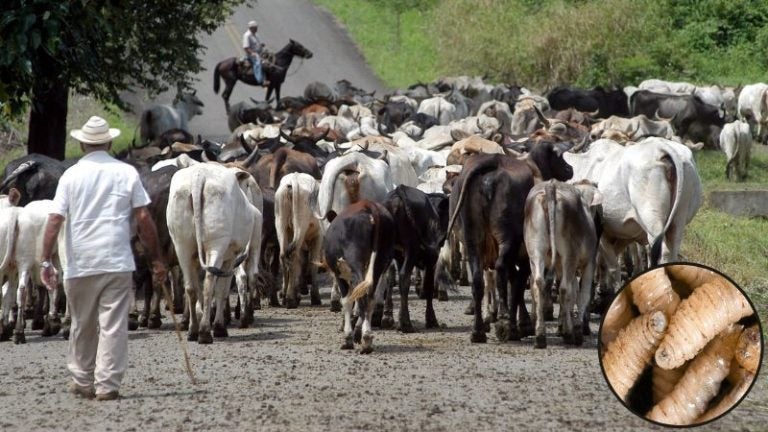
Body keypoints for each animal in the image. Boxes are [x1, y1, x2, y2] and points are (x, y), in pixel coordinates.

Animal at [166, 163, 262, 344]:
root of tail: (199, 176)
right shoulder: (230, 258)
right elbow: (222, 291)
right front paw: (219, 326)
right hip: (217, 245)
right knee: (211, 283)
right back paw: (206, 332)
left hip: (182, 246)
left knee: (190, 287)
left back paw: (193, 330)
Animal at [276, 174, 324, 308]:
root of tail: (294, 178)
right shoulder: (318, 236)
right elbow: (313, 263)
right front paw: (315, 297)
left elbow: (301, 263)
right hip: (300, 226)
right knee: (292, 255)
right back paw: (290, 299)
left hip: (281, 224)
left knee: (284, 255)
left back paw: (285, 296)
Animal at [324, 201, 396, 352]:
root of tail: (370, 206)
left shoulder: (340, 274)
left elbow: (347, 301)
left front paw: (348, 337)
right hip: (381, 261)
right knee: (371, 297)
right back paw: (365, 336)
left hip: (355, 260)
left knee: (363, 297)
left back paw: (365, 338)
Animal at [380, 185, 448, 330]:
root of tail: (399, 191)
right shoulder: (432, 259)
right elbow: (428, 286)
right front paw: (431, 320)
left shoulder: (400, 257)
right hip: (412, 249)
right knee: (404, 276)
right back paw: (405, 323)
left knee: (388, 277)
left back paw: (388, 318)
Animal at [444, 142, 568, 344]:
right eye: (559, 156)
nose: (569, 169)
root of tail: (492, 163)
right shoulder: (525, 254)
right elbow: (517, 285)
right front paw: (521, 324)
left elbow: (513, 282)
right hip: (507, 239)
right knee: (501, 269)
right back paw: (502, 322)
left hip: (473, 240)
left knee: (477, 279)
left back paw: (478, 330)